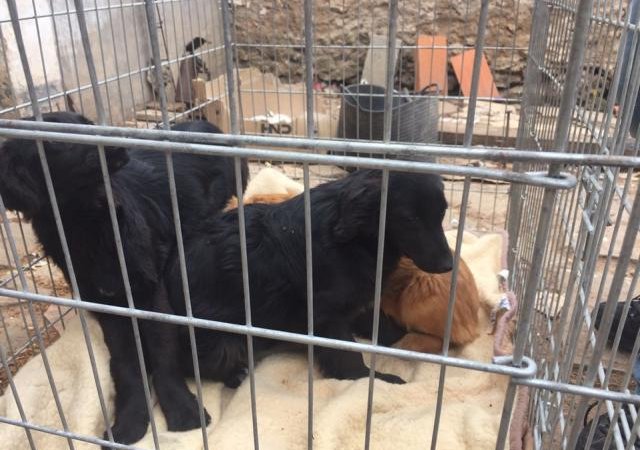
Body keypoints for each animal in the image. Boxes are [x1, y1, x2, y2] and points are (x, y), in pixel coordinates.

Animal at [0, 112, 247, 447]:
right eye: (57, 140)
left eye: (88, 122)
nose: (117, 144)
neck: (86, 224)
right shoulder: (108, 303)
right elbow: (125, 363)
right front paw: (130, 420)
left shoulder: (150, 291)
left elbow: (164, 349)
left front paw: (182, 410)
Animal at [166, 169, 453, 386]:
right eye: (410, 218)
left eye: (442, 214)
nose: (449, 264)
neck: (354, 238)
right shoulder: (328, 315)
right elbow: (348, 357)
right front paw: (373, 379)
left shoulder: (358, 298)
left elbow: (382, 326)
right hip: (221, 342)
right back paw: (236, 373)